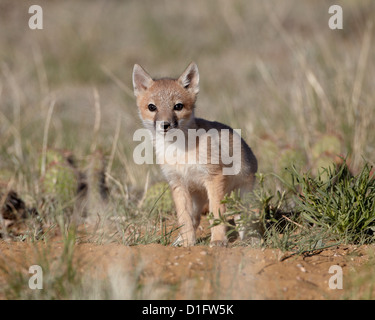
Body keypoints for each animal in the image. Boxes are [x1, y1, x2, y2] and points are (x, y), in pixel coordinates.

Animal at [132, 62, 258, 248]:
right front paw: (187, 243)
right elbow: (184, 219)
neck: (177, 151)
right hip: (198, 197)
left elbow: (217, 214)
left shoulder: (214, 177)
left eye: (178, 106)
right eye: (152, 107)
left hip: (241, 195)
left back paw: (249, 238)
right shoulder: (177, 183)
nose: (165, 125)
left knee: (243, 218)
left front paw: (218, 240)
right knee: (195, 219)